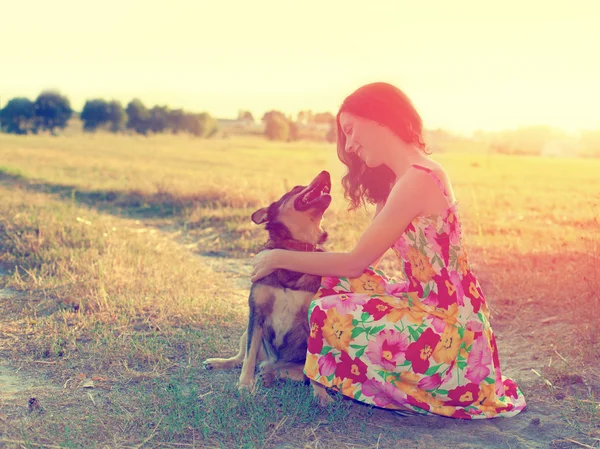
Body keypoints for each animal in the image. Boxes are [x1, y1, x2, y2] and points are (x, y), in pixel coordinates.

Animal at [202, 170, 332, 404]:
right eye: (297, 187)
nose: (326, 173)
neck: (295, 249)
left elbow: (314, 372)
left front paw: (321, 395)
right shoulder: (257, 312)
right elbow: (248, 357)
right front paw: (245, 384)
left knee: (286, 371)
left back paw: (269, 373)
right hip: (247, 331)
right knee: (242, 357)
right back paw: (221, 362)